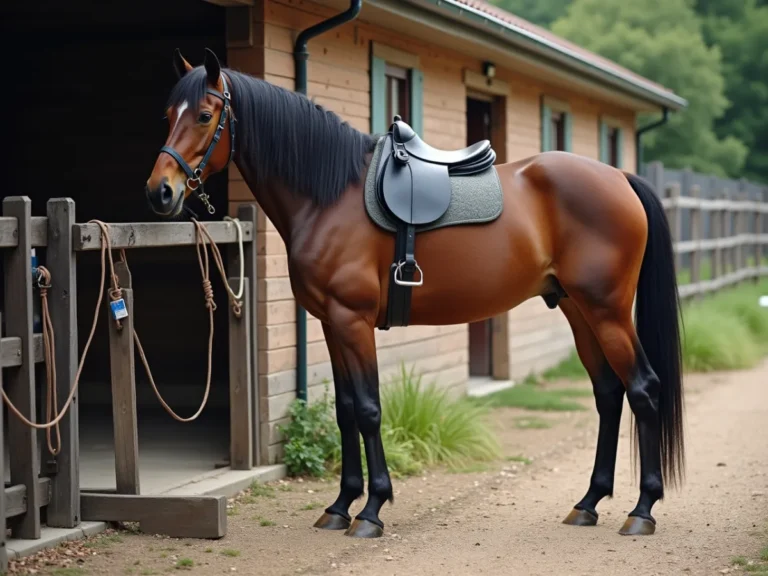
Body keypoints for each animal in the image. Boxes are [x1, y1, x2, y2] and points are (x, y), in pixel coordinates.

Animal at [144, 47, 684, 539]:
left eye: (205, 115)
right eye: (168, 115)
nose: (159, 192)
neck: (329, 196)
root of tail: (619, 178)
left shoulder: (353, 320)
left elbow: (367, 409)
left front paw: (371, 510)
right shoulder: (330, 323)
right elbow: (345, 411)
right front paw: (339, 506)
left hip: (607, 311)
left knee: (643, 389)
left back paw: (642, 510)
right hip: (578, 310)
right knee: (609, 393)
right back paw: (589, 502)